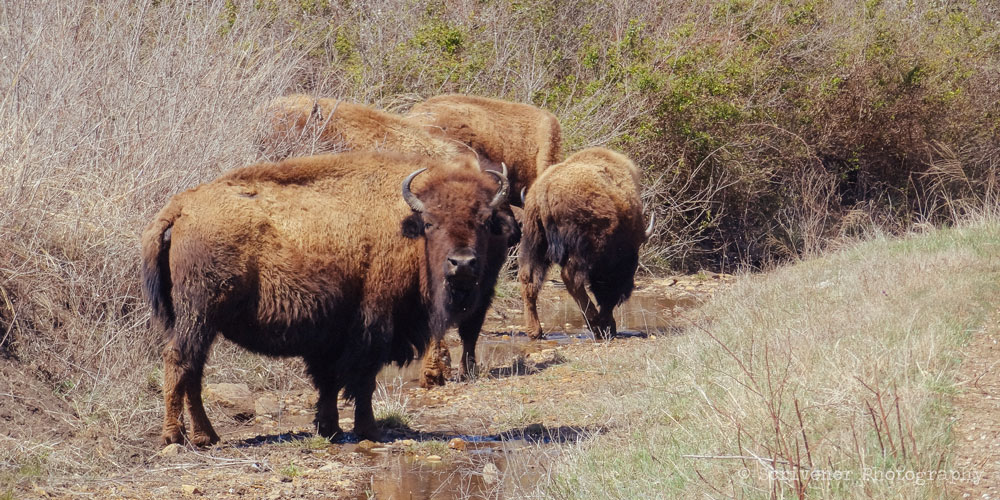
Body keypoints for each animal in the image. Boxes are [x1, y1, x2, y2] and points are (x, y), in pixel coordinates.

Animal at [141, 151, 512, 446]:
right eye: (432, 222)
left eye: (483, 221)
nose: (462, 263)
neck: (406, 226)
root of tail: (180, 208)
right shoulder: (373, 327)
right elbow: (362, 380)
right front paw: (368, 430)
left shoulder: (329, 335)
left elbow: (329, 382)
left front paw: (330, 428)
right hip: (199, 315)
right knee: (179, 362)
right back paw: (175, 436)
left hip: (197, 321)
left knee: (193, 369)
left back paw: (206, 435)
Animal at [516, 147, 656, 340]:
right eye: (630, 266)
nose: (626, 291)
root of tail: (544, 190)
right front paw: (606, 325)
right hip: (582, 250)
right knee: (570, 278)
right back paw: (595, 324)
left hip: (534, 241)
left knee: (528, 278)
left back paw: (535, 331)